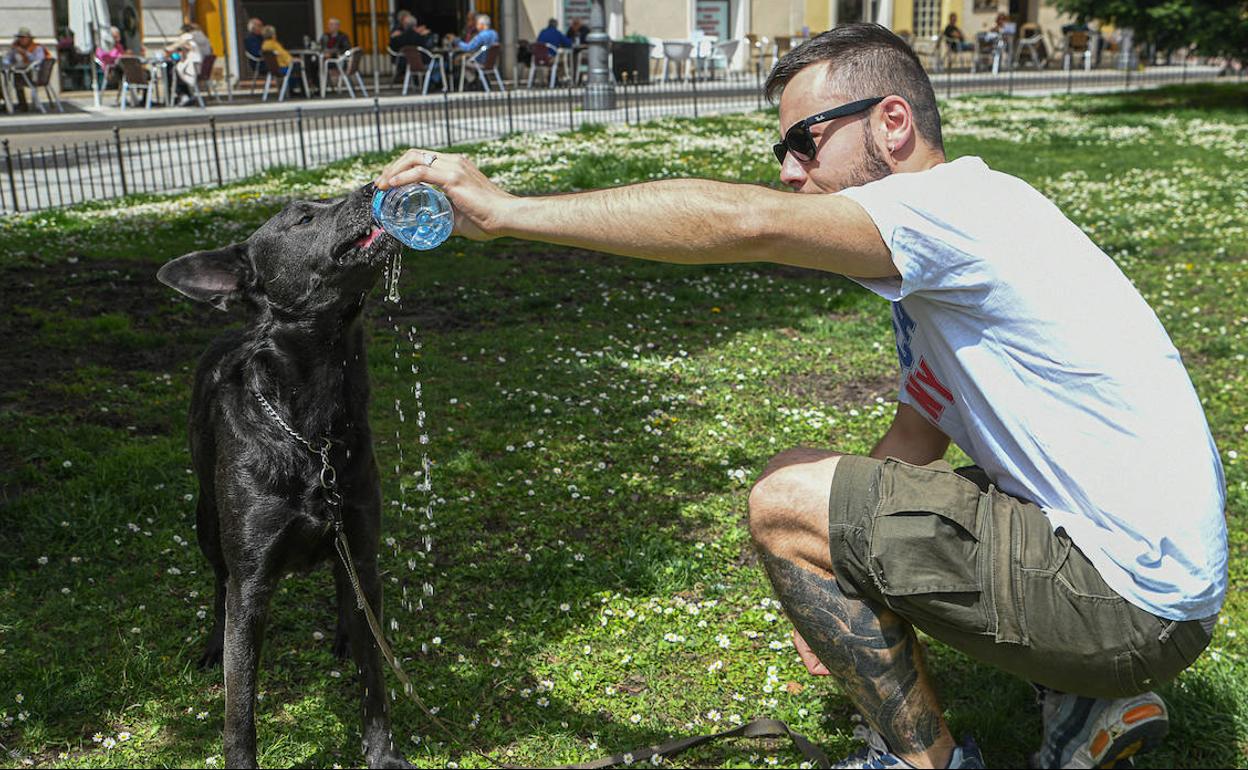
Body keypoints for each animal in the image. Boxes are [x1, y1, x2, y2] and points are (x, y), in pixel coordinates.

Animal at [158, 183, 411, 763]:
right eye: (302, 218)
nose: (374, 185)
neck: (313, 431)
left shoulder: (361, 543)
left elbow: (375, 677)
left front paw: (381, 753)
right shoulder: (251, 582)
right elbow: (240, 705)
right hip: (206, 523)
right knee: (218, 585)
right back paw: (213, 644)